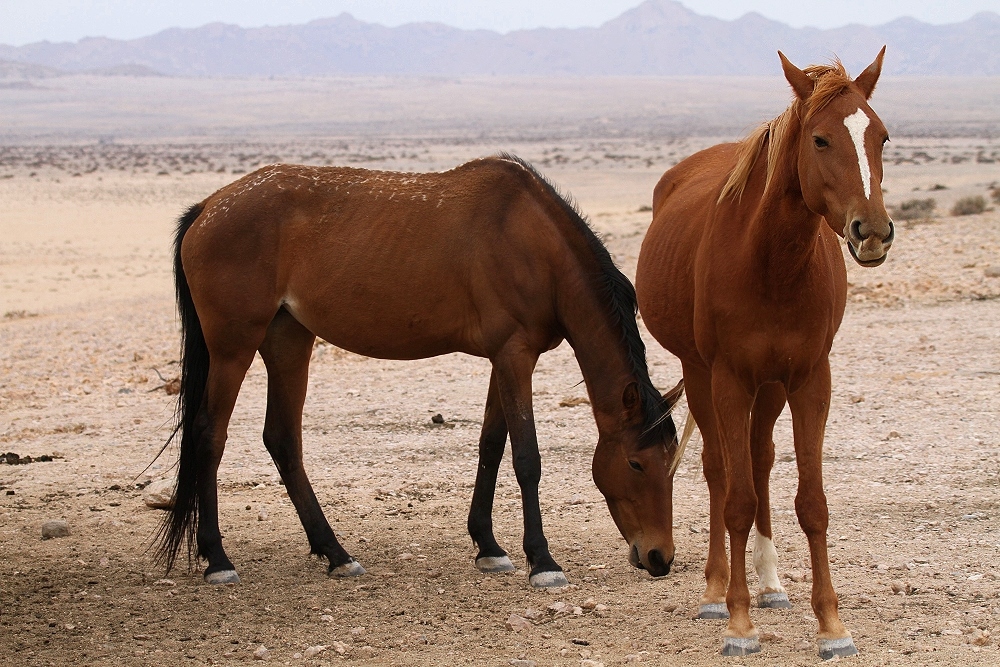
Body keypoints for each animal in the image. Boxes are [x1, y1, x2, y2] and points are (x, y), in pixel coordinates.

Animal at [158, 153, 688, 588]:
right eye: (636, 463)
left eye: (671, 462)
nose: (659, 557)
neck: (533, 241)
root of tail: (209, 206)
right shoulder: (515, 356)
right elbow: (526, 458)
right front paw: (542, 561)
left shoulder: (505, 358)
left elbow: (491, 446)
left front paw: (489, 547)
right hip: (233, 347)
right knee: (209, 436)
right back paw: (218, 559)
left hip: (288, 340)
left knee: (282, 440)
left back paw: (336, 553)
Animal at [636, 49, 896, 660]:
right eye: (821, 139)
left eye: (881, 136)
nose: (872, 231)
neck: (771, 262)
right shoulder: (729, 378)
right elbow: (735, 498)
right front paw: (738, 622)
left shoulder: (809, 379)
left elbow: (811, 502)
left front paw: (831, 625)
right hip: (701, 375)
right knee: (719, 470)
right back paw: (715, 590)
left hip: (771, 386)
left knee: (757, 460)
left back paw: (771, 583)